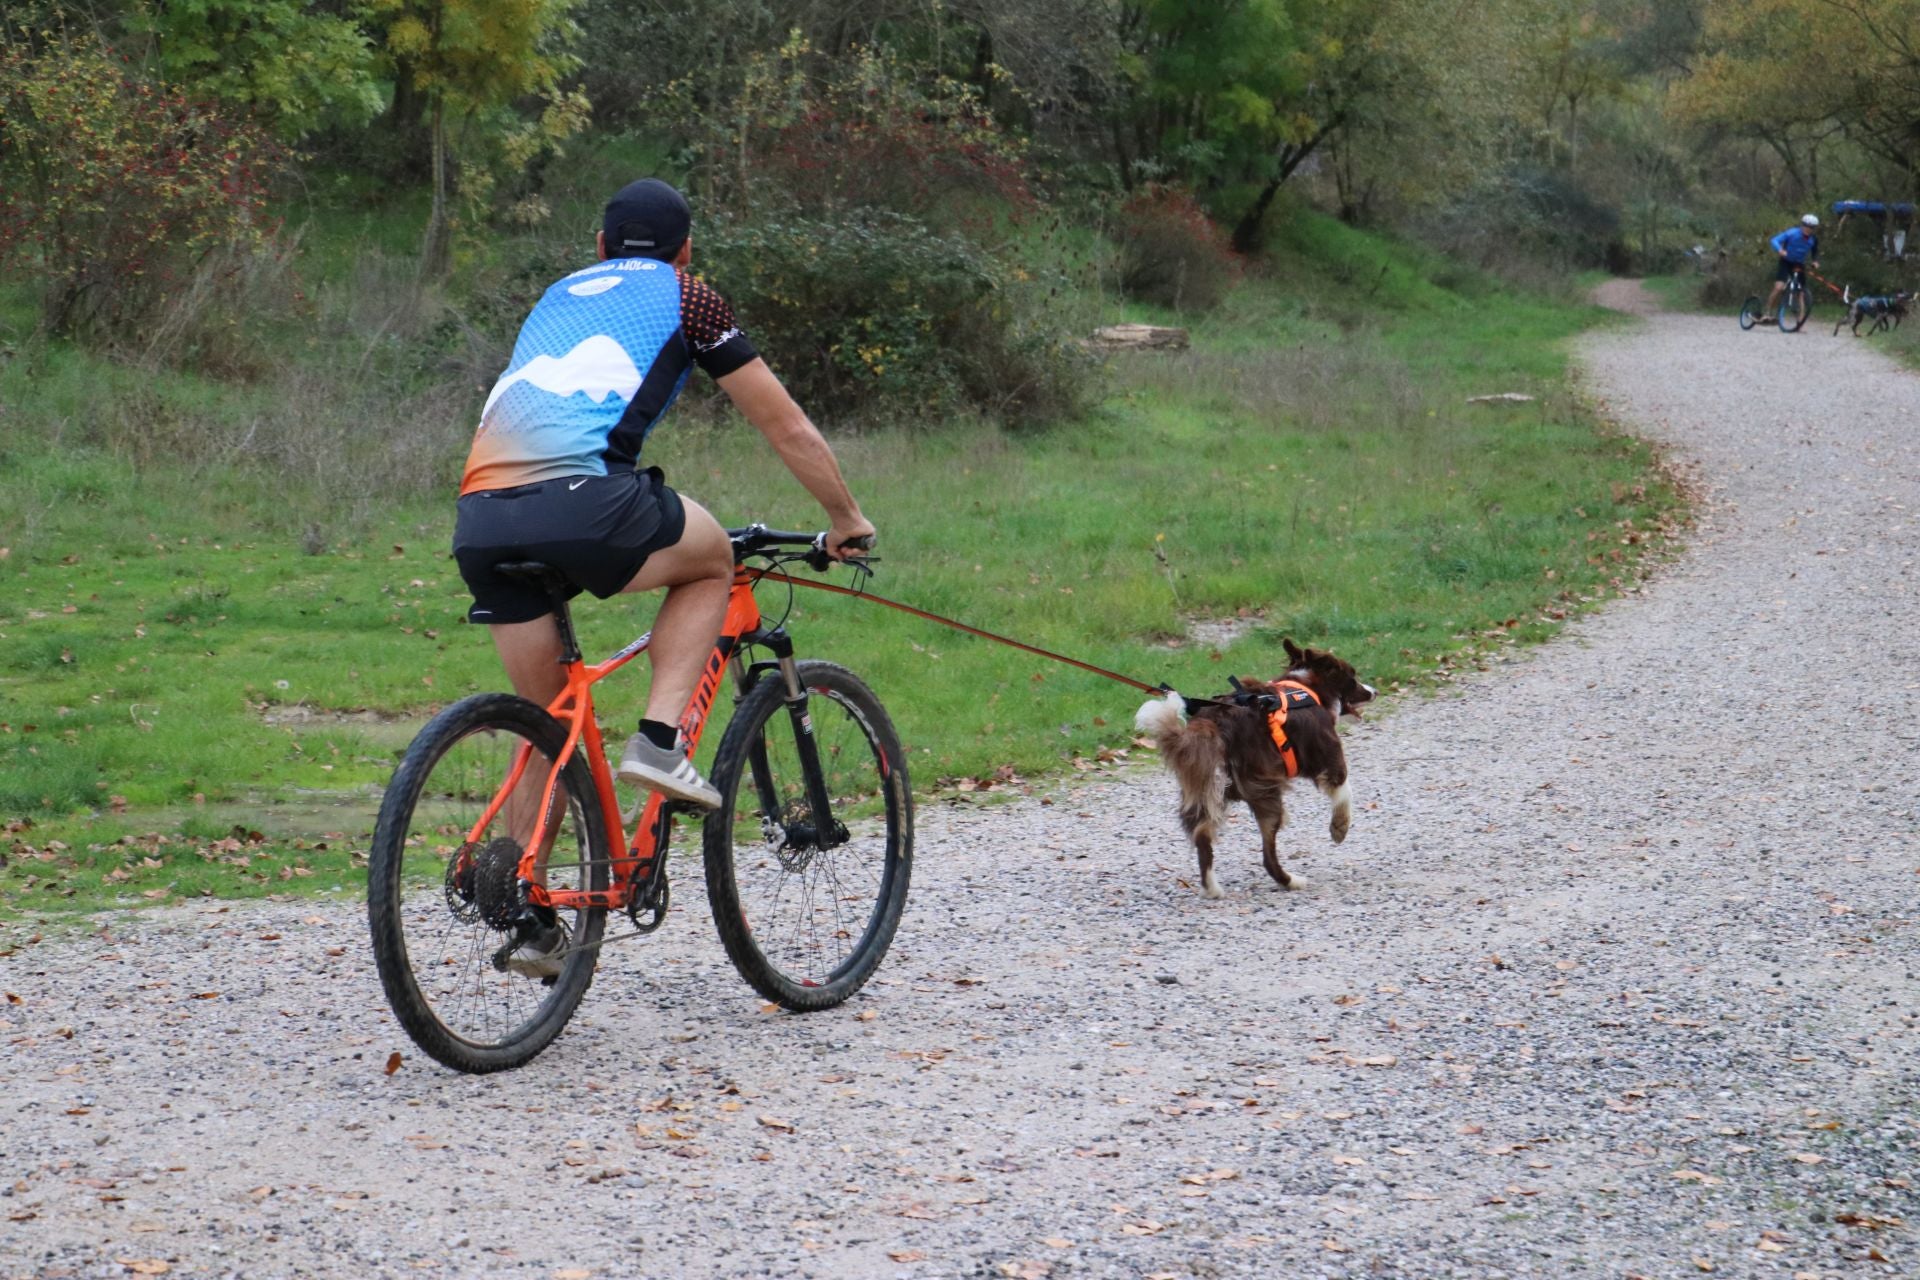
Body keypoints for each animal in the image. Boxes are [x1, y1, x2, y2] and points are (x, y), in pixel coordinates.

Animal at [1128, 640, 1374, 901]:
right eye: (1352, 676)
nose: (1373, 691)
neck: (1305, 687)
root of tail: (1214, 724)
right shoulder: (1329, 757)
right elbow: (1345, 790)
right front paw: (1339, 827)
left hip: (1208, 790)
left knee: (1202, 836)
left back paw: (1212, 889)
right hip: (1264, 791)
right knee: (1267, 856)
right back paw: (1292, 882)